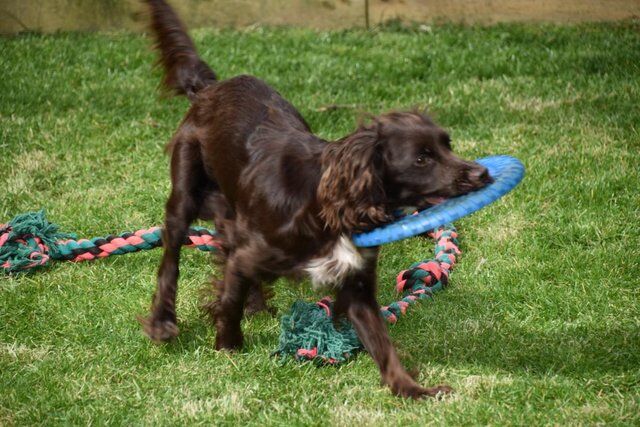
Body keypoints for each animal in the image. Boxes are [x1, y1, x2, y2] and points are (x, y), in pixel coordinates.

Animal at [140, 0, 490, 402]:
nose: (482, 173)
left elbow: (381, 342)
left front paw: (413, 389)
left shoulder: (355, 281)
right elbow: (228, 300)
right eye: (421, 159)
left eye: (447, 145)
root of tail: (210, 89)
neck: (329, 206)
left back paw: (256, 304)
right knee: (171, 260)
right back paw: (163, 322)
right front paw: (228, 346)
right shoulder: (254, 250)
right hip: (185, 190)